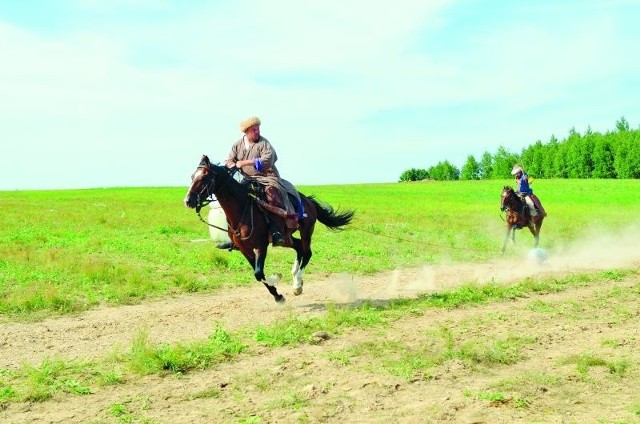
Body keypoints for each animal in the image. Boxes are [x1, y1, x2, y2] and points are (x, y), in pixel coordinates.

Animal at [184, 154, 356, 304]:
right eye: (192, 177)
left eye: (204, 178)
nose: (188, 201)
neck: (241, 210)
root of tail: (308, 200)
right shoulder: (245, 249)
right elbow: (258, 274)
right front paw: (278, 296)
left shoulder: (261, 246)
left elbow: (259, 273)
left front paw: (277, 278)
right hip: (285, 238)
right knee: (299, 247)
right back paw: (295, 276)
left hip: (306, 230)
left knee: (307, 252)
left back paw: (297, 284)